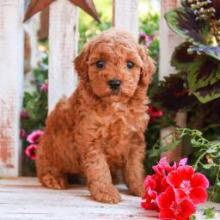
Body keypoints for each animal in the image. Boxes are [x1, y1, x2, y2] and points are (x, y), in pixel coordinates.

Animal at [36, 28, 155, 204]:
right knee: (46, 170)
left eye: (130, 64)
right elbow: (99, 168)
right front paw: (106, 192)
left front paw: (141, 187)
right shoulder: (90, 139)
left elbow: (134, 168)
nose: (114, 83)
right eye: (100, 64)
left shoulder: (135, 140)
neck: (116, 108)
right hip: (50, 152)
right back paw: (55, 179)